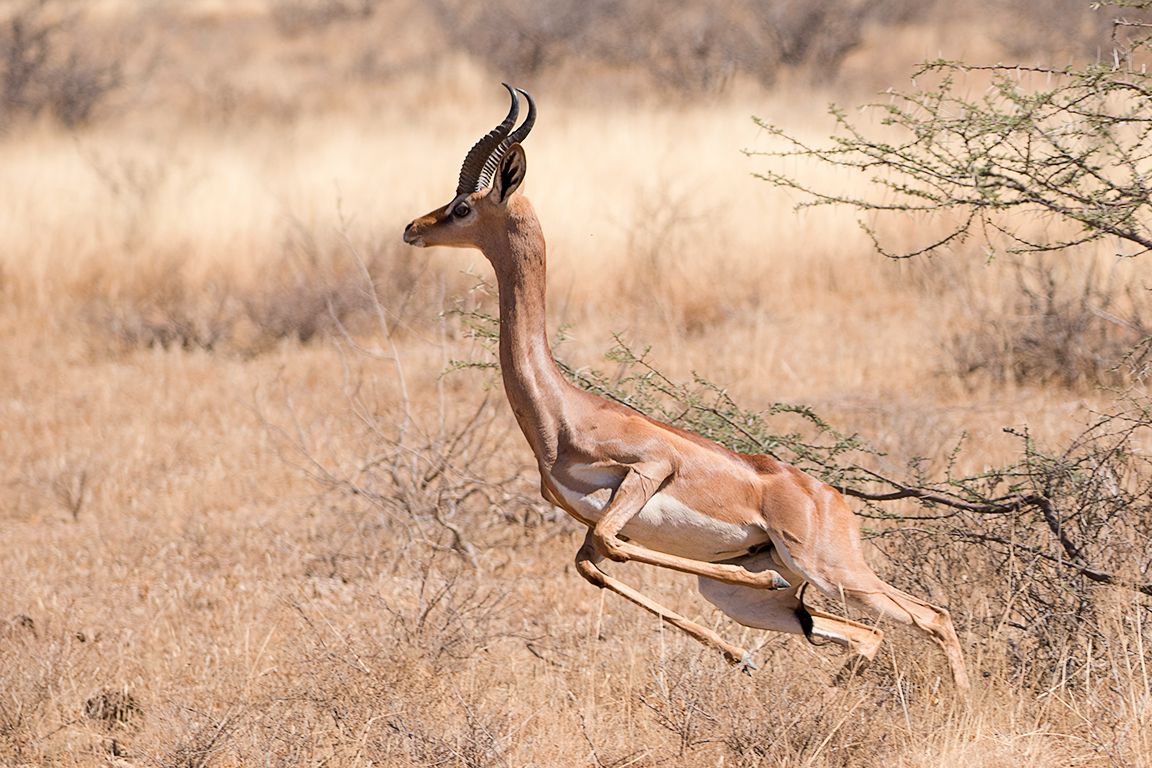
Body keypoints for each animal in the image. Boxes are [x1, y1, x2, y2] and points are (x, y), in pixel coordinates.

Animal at [402, 84, 970, 694]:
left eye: (463, 206)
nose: (413, 227)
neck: (562, 414)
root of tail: (830, 497)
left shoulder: (650, 470)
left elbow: (610, 549)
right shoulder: (591, 524)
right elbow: (592, 563)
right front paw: (741, 657)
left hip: (829, 570)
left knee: (932, 616)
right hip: (741, 594)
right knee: (863, 633)